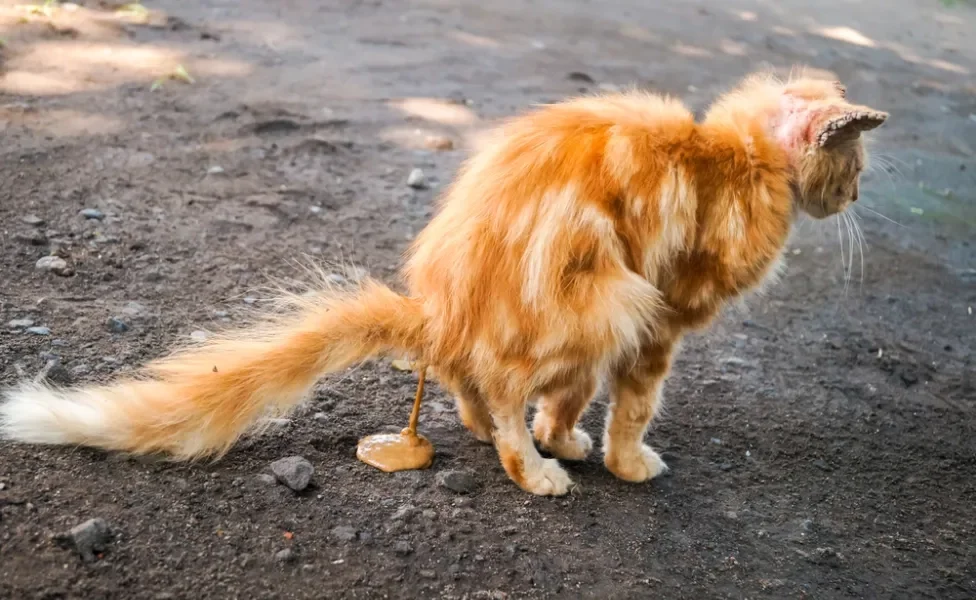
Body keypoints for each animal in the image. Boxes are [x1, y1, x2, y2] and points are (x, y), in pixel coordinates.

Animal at [0, 69, 884, 496]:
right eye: (856, 166)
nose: (858, 198)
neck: (739, 158)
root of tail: (445, 313)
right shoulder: (658, 323)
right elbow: (630, 411)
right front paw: (623, 463)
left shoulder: (636, 328)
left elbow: (572, 402)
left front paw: (569, 436)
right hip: (607, 300)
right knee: (499, 389)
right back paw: (535, 472)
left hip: (600, 306)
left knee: (475, 388)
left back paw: (506, 437)